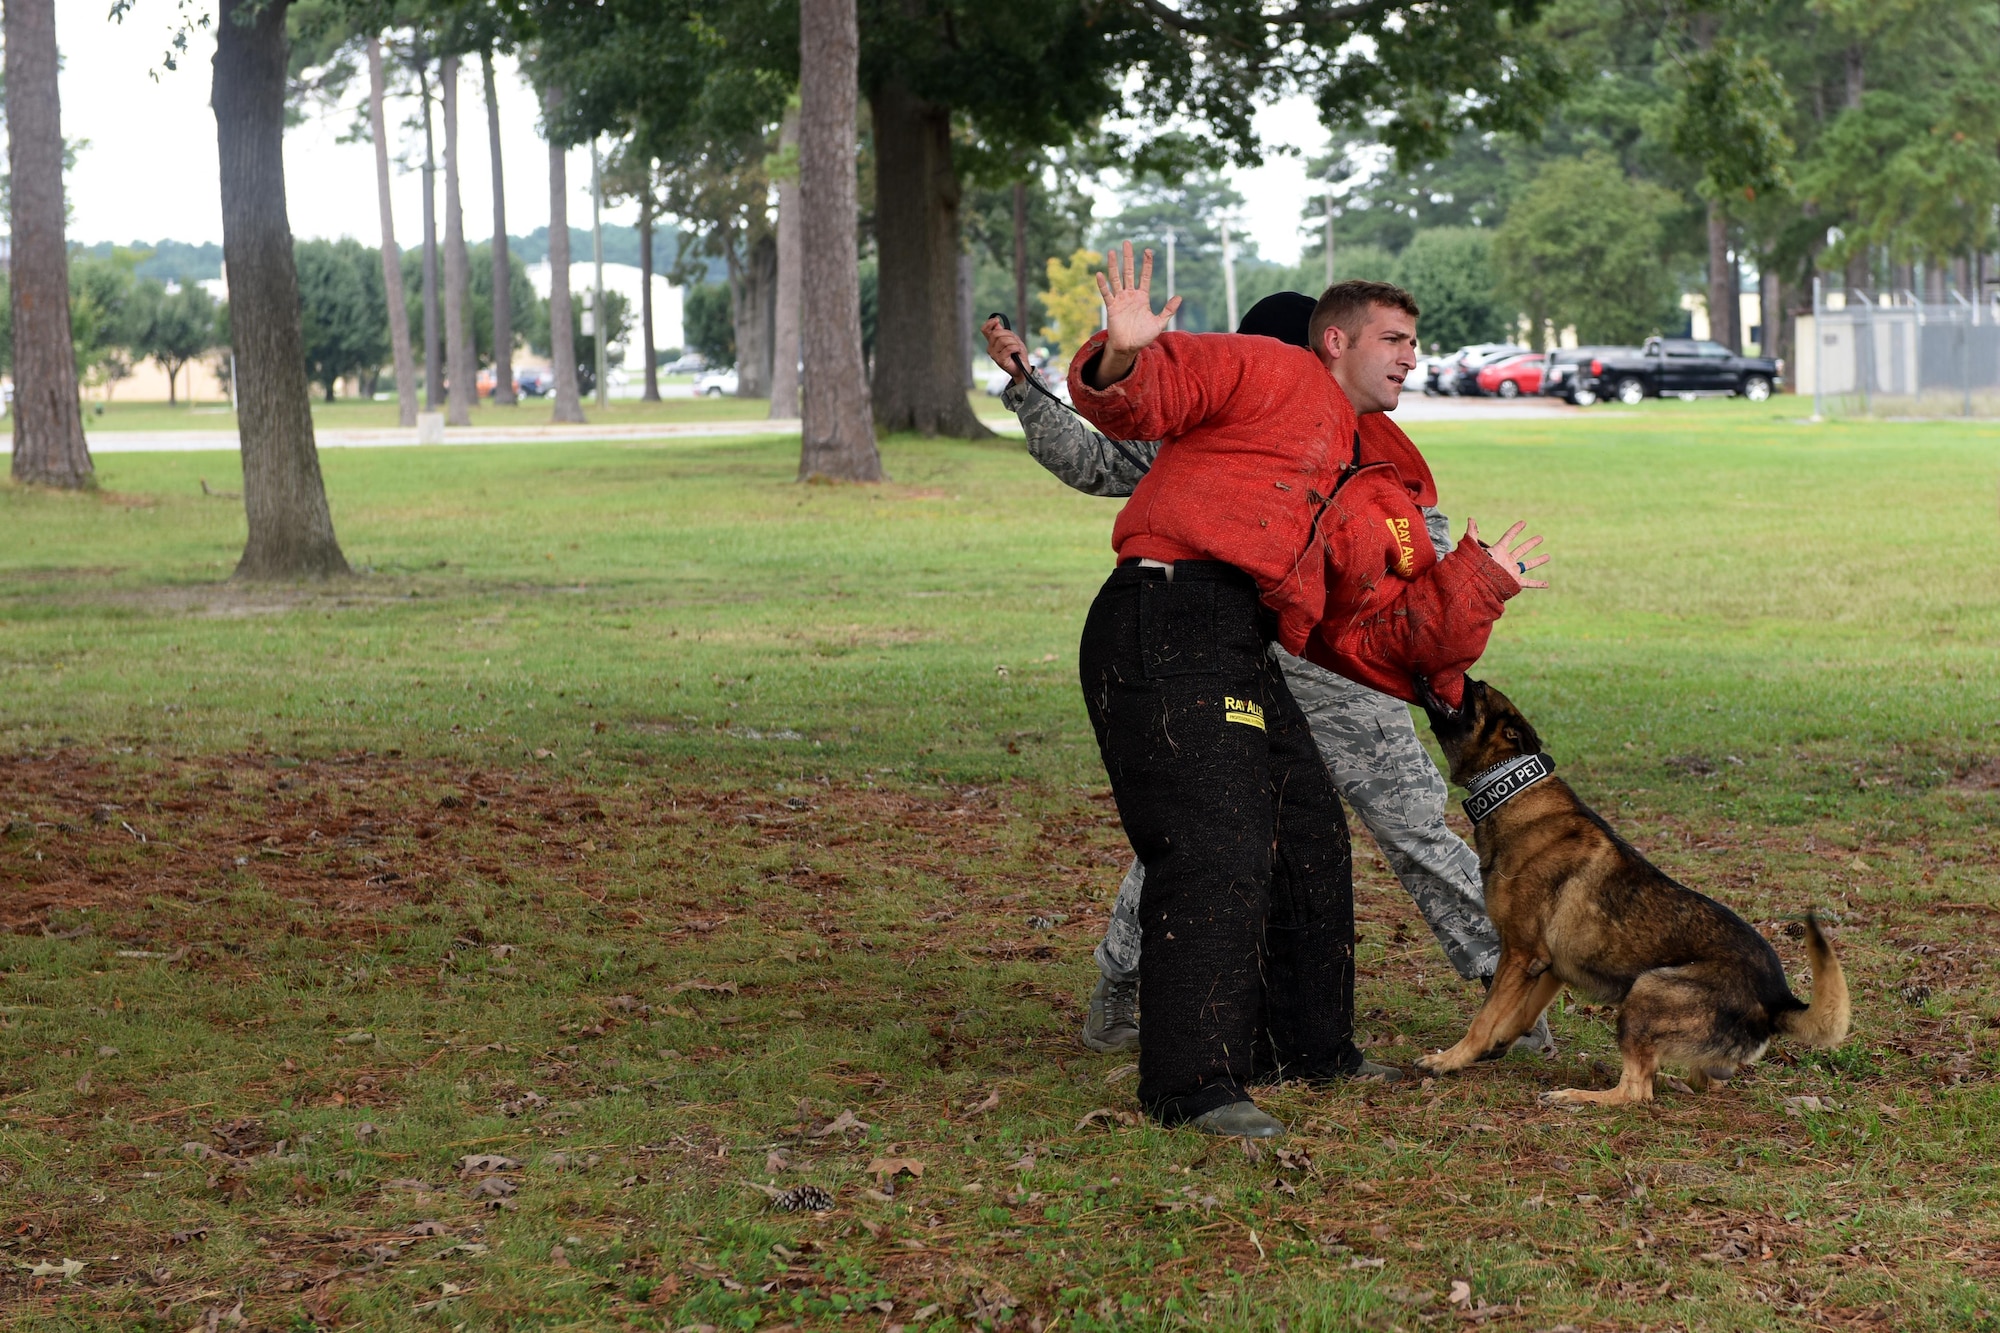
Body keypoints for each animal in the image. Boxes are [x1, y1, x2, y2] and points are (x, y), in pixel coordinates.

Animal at [1416, 676, 1848, 1096]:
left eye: (1476, 689)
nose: (1443, 675)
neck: (1511, 792)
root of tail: (1776, 1000)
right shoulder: (1548, 966)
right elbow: (1519, 1014)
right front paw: (1497, 1044)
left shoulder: (1521, 954)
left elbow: (1484, 1017)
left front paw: (1450, 1059)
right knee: (1697, 1082)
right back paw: (1674, 1082)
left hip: (1646, 989)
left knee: (1635, 1092)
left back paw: (1577, 1097)